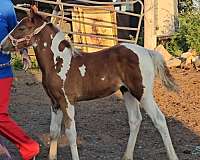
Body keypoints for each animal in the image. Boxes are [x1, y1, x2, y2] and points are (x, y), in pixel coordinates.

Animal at [0, 8, 179, 160]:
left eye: (21, 28)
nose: (2, 45)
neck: (58, 62)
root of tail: (147, 52)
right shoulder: (55, 103)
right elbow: (54, 132)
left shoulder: (67, 102)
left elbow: (71, 134)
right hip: (127, 91)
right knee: (135, 120)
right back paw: (127, 156)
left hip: (143, 92)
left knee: (159, 120)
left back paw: (172, 156)